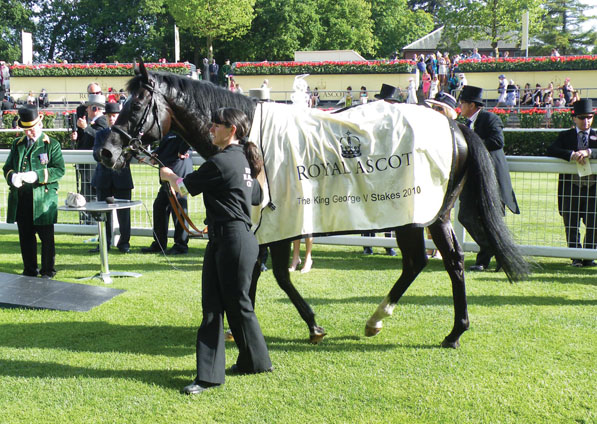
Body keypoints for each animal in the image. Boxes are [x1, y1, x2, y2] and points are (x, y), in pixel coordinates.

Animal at [99, 62, 532, 348]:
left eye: (134, 106)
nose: (106, 152)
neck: (248, 134)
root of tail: (454, 123)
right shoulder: (263, 223)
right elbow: (256, 272)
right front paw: (241, 325)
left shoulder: (278, 222)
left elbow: (278, 276)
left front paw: (309, 325)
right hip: (428, 215)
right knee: (439, 262)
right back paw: (430, 327)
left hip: (413, 216)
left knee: (427, 261)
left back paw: (406, 324)